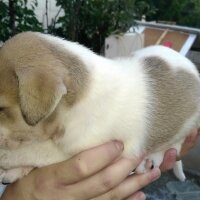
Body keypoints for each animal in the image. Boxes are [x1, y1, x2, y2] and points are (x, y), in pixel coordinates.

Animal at [0, 32, 200, 184]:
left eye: (1, 109)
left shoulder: (80, 150)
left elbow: (34, 152)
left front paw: (8, 159)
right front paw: (15, 170)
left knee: (174, 144)